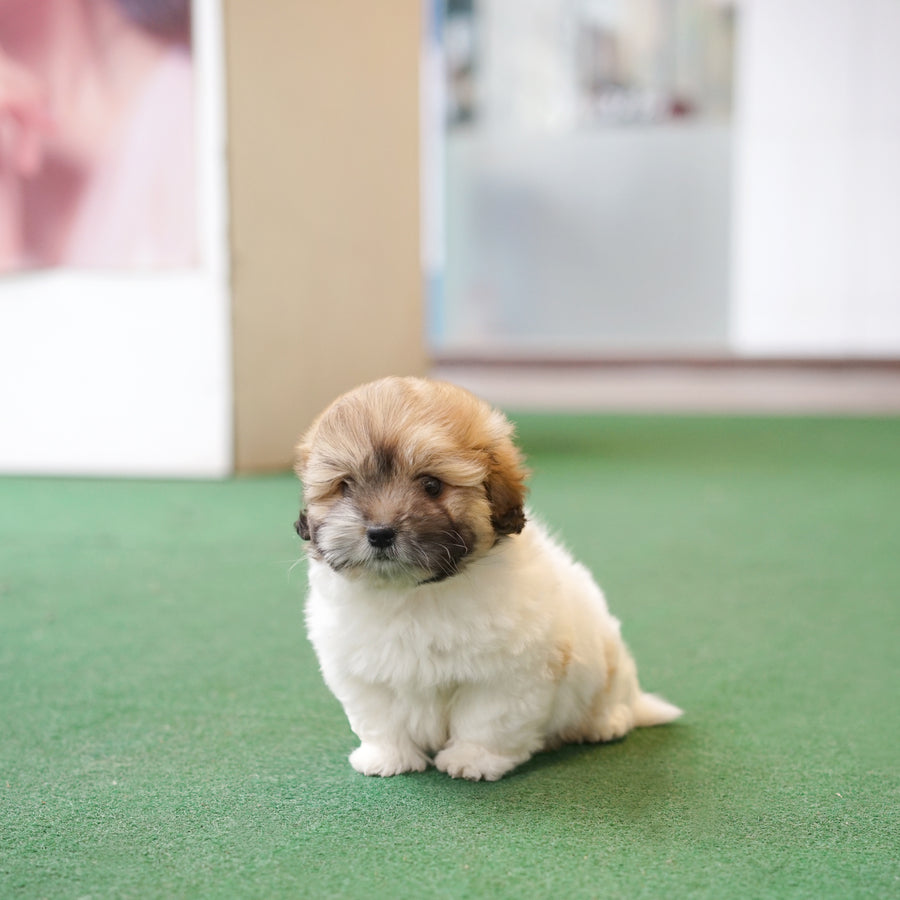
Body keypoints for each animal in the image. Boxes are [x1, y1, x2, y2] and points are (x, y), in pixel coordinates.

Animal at [296, 374, 684, 780]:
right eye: (345, 486)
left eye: (431, 485)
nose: (380, 532)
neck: (415, 592)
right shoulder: (362, 670)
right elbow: (379, 716)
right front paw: (387, 757)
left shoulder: (504, 675)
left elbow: (486, 719)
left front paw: (474, 759)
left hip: (608, 668)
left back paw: (605, 723)